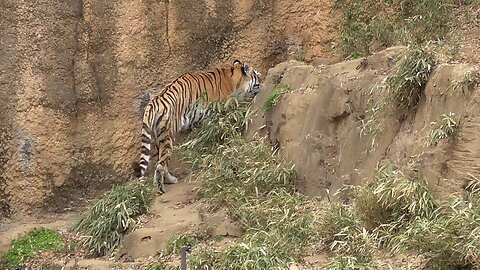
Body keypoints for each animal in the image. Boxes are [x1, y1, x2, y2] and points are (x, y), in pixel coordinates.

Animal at [133, 60, 260, 193]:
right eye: (257, 75)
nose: (261, 82)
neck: (234, 78)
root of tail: (153, 103)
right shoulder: (223, 112)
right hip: (168, 136)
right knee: (160, 165)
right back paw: (161, 187)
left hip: (159, 138)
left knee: (161, 161)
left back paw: (166, 181)